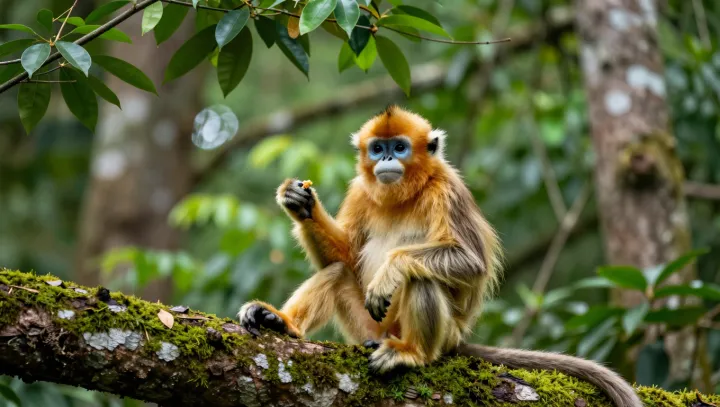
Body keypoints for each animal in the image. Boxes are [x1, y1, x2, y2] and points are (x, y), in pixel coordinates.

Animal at [238, 105, 643, 407]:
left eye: (400, 147)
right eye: (378, 148)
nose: (387, 157)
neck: (403, 195)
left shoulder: (446, 190)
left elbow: (470, 262)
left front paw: (391, 270)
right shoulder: (359, 190)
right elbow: (345, 257)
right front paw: (300, 203)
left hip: (443, 333)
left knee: (422, 276)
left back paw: (411, 352)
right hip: (368, 326)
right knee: (338, 272)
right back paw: (281, 322)